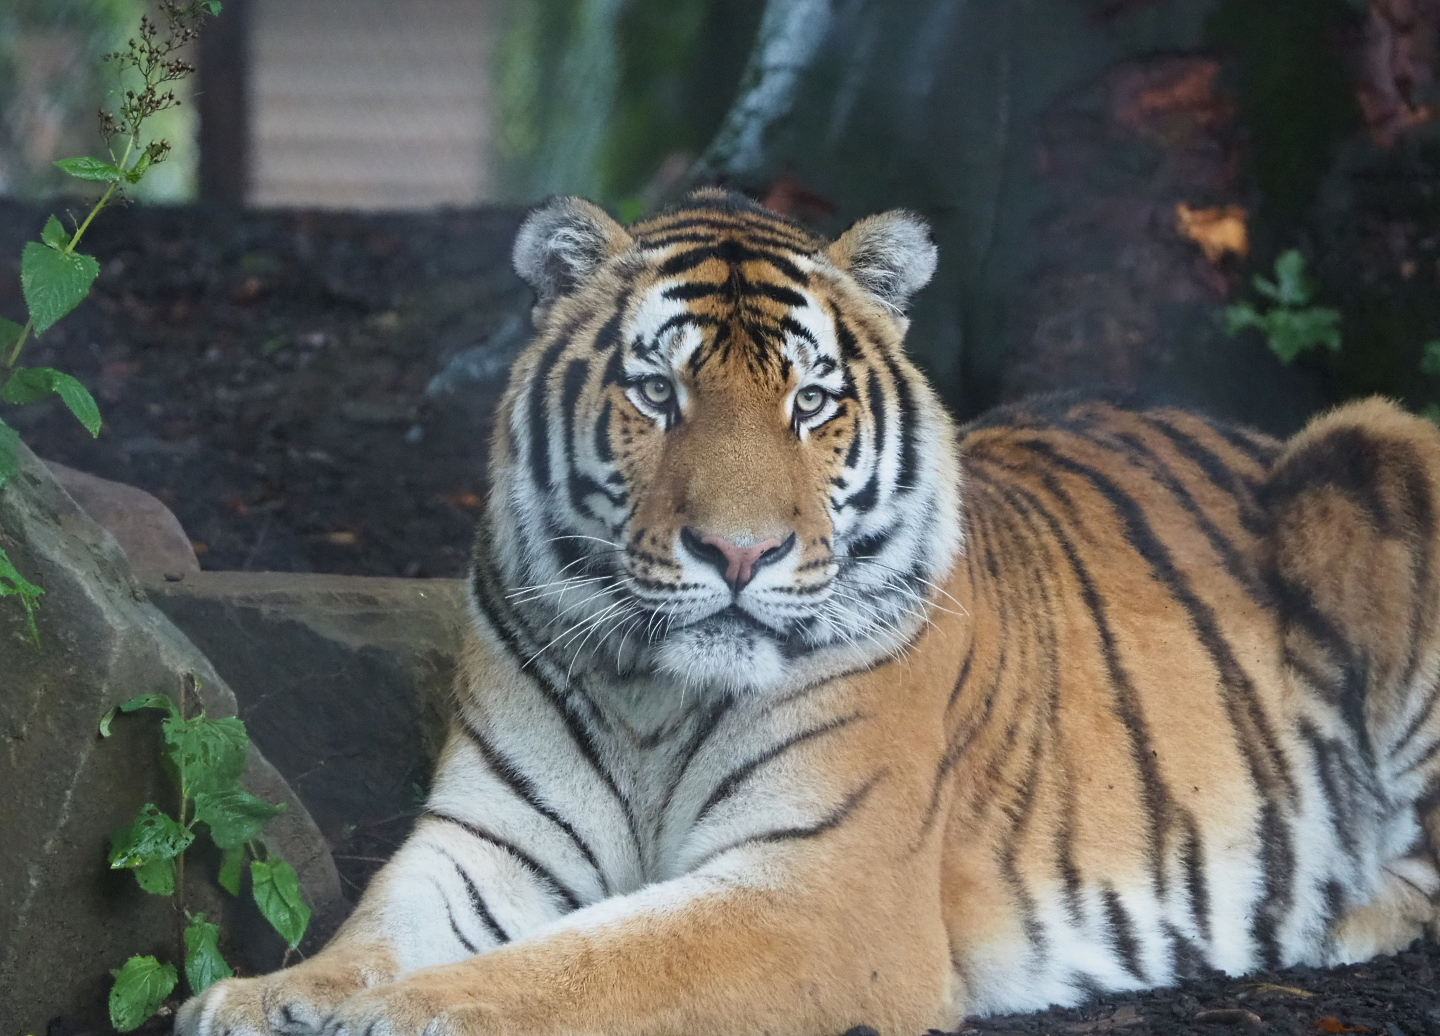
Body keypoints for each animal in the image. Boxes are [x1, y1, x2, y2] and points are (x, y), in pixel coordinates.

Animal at [178, 188, 1440, 1036]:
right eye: (657, 391)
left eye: (812, 402)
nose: (741, 552)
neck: (653, 690)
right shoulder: (490, 837)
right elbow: (375, 929)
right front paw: (266, 999)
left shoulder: (817, 893)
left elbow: (587, 966)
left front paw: (398, 1014)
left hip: (1379, 442)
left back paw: (1335, 906)